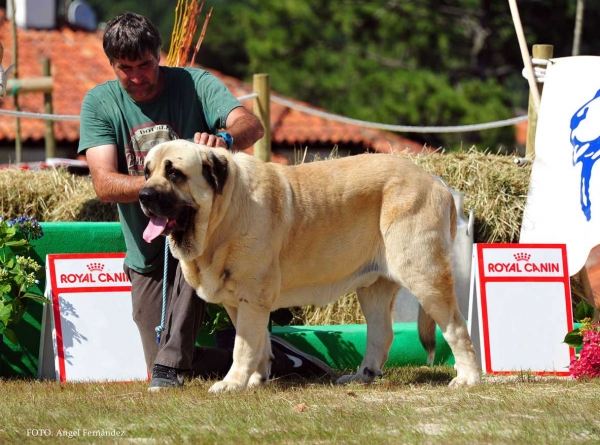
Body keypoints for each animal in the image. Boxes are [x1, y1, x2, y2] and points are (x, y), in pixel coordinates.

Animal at [138, 140, 480, 392]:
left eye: (174, 173)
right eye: (147, 172)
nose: (143, 195)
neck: (225, 213)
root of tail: (434, 181)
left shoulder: (252, 297)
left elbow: (242, 346)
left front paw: (232, 383)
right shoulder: (241, 303)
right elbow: (258, 342)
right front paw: (256, 380)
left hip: (424, 275)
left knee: (455, 326)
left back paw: (468, 378)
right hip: (373, 289)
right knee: (381, 333)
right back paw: (363, 376)